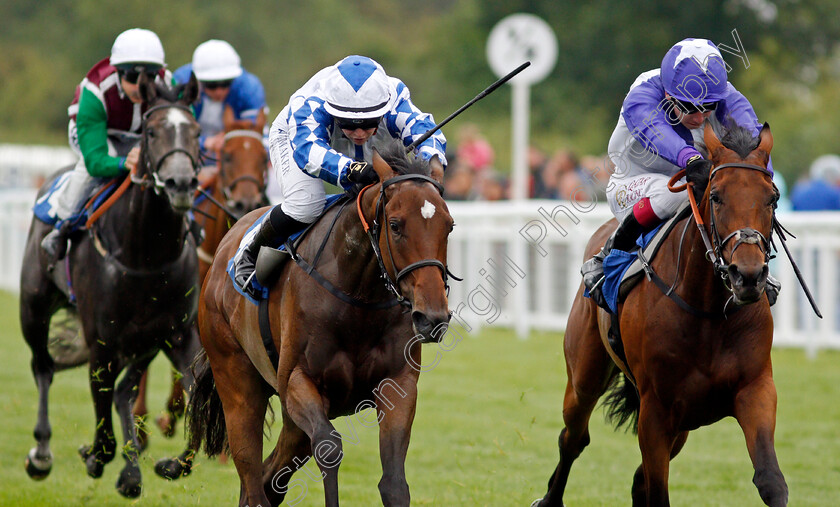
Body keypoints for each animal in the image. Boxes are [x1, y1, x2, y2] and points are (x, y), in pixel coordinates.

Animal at [18, 73, 203, 498]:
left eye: (196, 131)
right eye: (151, 132)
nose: (181, 183)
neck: (146, 254)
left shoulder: (176, 334)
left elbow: (196, 400)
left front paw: (167, 466)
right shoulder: (101, 342)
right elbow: (102, 430)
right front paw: (96, 456)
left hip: (143, 342)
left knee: (124, 392)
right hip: (33, 307)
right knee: (43, 367)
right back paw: (42, 454)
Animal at [190, 143, 456, 507]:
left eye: (449, 226)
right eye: (396, 224)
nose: (432, 318)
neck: (359, 298)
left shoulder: (398, 384)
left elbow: (394, 483)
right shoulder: (297, 381)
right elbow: (329, 448)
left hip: (292, 421)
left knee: (269, 476)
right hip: (237, 382)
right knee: (251, 471)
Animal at [536, 124, 784, 507]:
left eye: (772, 198)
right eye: (716, 197)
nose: (748, 276)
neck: (708, 313)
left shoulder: (755, 388)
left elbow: (771, 481)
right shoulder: (655, 409)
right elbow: (657, 490)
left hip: (684, 423)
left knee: (638, 477)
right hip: (584, 377)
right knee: (573, 437)